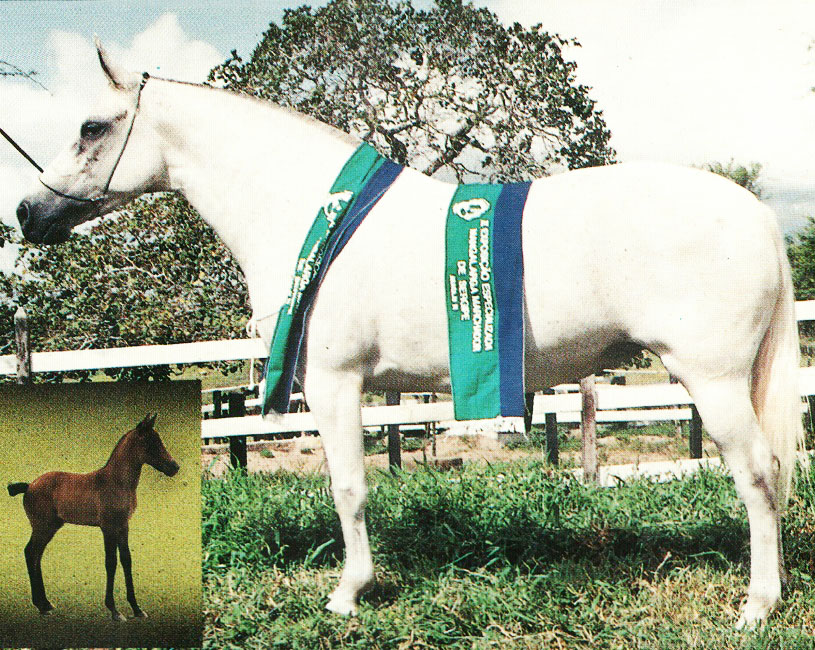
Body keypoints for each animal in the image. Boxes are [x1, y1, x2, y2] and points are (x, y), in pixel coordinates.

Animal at [7, 412, 179, 620]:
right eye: (151, 443)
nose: (174, 467)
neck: (116, 482)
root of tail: (29, 486)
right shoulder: (108, 527)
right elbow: (111, 562)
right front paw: (114, 611)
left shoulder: (123, 526)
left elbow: (126, 560)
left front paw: (137, 609)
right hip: (43, 527)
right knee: (30, 553)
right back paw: (41, 605)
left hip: (50, 527)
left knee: (35, 555)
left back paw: (45, 604)